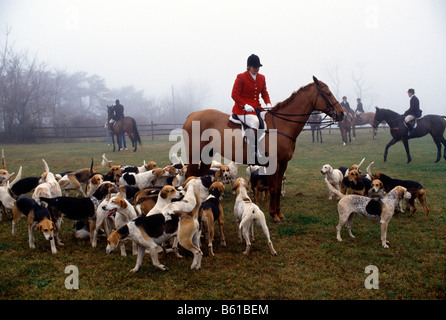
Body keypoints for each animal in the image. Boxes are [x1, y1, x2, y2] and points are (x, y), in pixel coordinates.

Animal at [183, 77, 344, 222]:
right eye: (327, 93)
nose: (342, 113)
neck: (282, 125)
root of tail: (191, 115)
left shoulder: (283, 163)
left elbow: (278, 188)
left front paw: (279, 214)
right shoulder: (273, 163)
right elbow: (273, 189)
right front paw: (274, 215)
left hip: (206, 155)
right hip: (194, 155)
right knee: (190, 176)